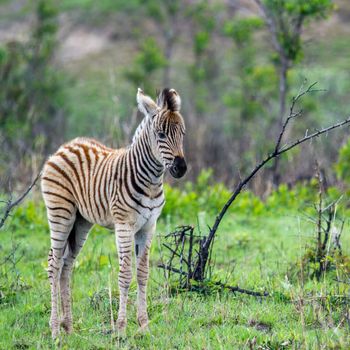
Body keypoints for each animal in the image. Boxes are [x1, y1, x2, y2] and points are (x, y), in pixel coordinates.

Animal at [42, 87, 187, 336]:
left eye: (183, 134)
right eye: (160, 135)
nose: (181, 168)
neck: (151, 182)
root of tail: (65, 147)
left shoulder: (149, 226)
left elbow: (143, 273)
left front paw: (144, 325)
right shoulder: (124, 225)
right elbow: (125, 274)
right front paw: (120, 328)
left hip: (80, 222)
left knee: (66, 266)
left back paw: (68, 327)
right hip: (60, 213)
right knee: (54, 263)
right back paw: (54, 331)